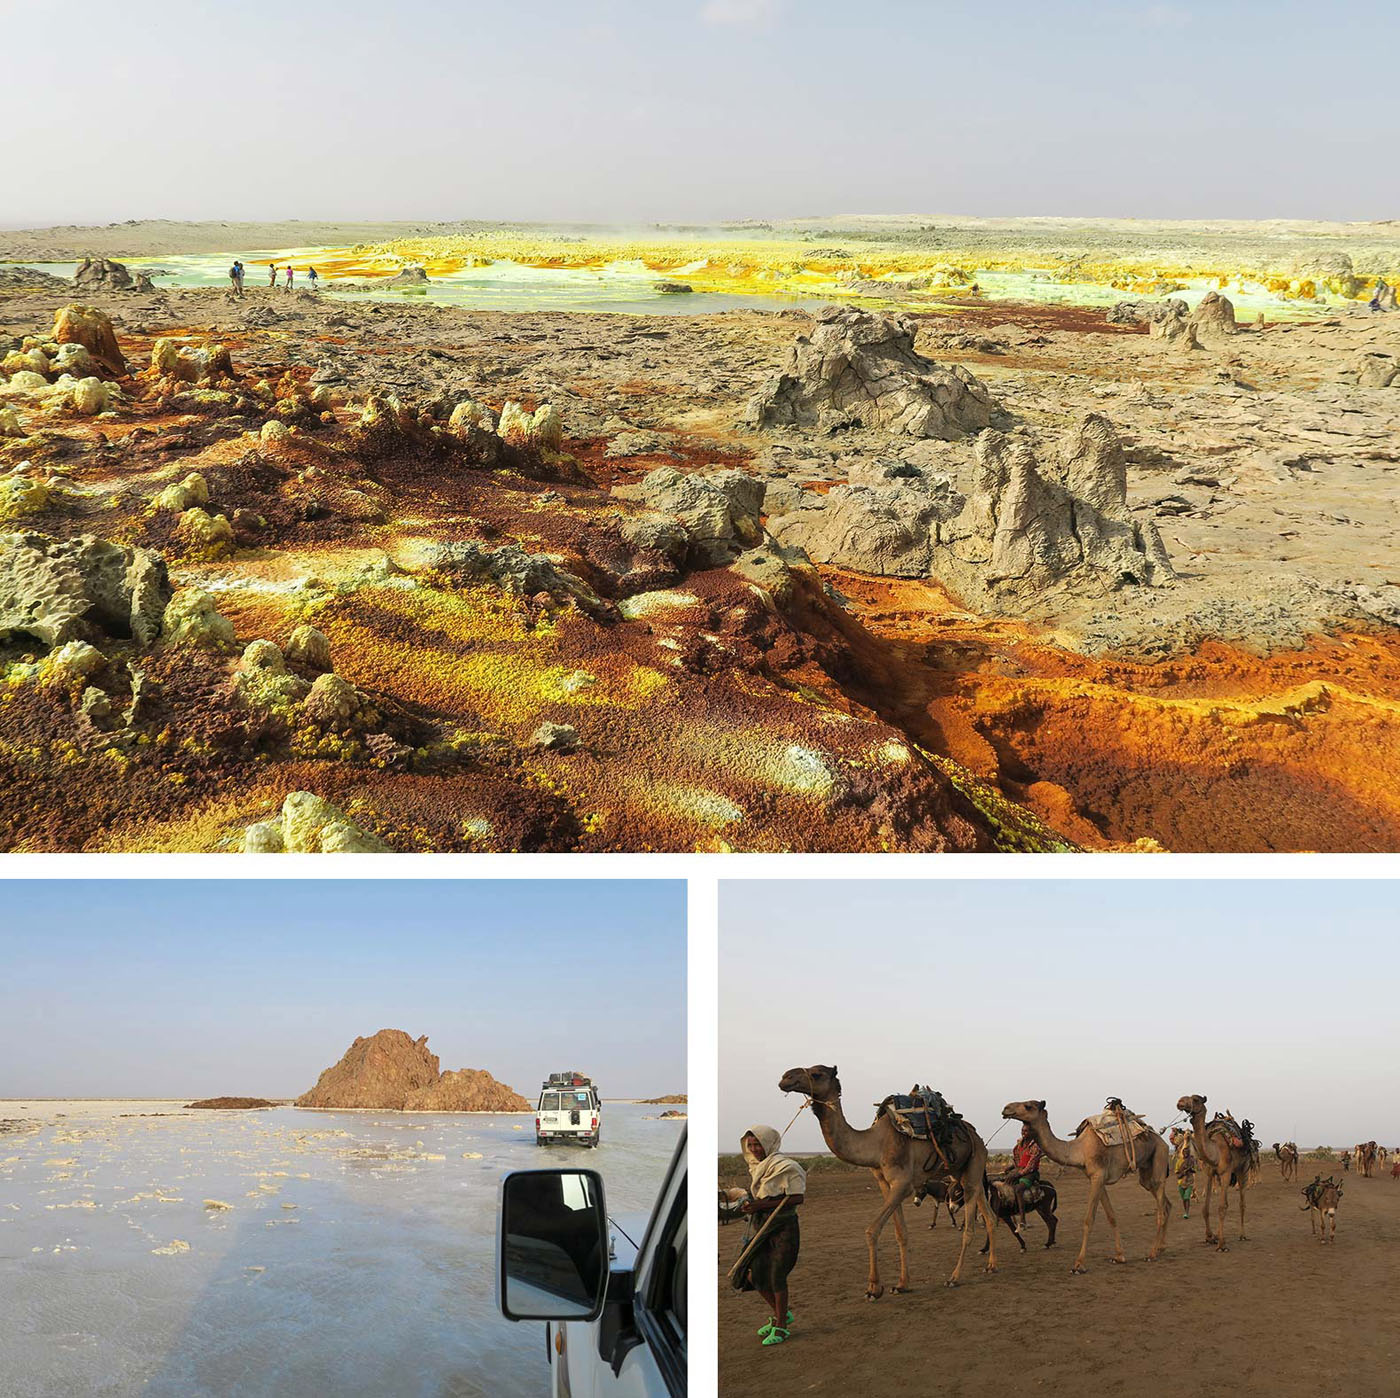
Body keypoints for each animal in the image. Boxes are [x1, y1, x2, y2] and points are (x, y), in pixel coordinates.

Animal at [778, 1069, 996, 1298]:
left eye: (817, 1073)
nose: (785, 1078)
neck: (876, 1143)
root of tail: (977, 1137)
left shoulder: (903, 1184)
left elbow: (872, 1230)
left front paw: (874, 1287)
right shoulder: (885, 1183)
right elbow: (901, 1233)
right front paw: (901, 1284)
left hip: (973, 1168)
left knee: (969, 1229)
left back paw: (954, 1278)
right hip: (962, 1173)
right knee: (989, 1216)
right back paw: (991, 1265)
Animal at [1008, 1097, 1170, 1276]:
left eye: (1028, 1106)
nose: (1006, 1109)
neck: (1078, 1150)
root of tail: (1163, 1141)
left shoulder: (1098, 1176)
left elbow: (1088, 1220)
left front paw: (1078, 1265)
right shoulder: (1098, 1178)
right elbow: (1111, 1216)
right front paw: (1119, 1257)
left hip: (1160, 1158)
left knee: (1161, 1208)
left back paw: (1152, 1254)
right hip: (1146, 1173)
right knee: (1165, 1203)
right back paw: (1161, 1248)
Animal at [1176, 1091, 1254, 1248]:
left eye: (1195, 1099)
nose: (1180, 1102)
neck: (1215, 1152)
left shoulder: (1225, 1173)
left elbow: (1222, 1207)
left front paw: (1222, 1245)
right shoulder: (1209, 1173)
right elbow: (1205, 1208)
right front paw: (1210, 1237)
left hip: (1243, 1169)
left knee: (1242, 1203)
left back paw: (1242, 1235)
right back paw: (1218, 1235)